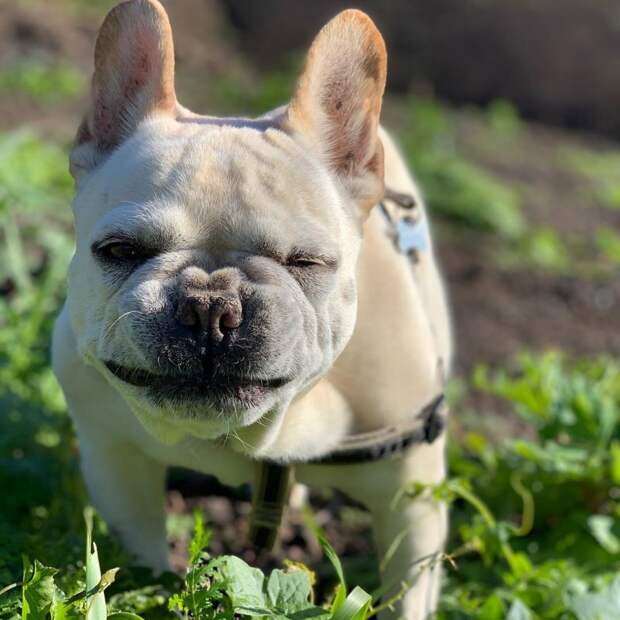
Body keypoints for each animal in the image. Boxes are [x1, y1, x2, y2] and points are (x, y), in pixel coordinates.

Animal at [53, 2, 450, 616]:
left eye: (307, 262)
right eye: (119, 251)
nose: (210, 307)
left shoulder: (413, 502)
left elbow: (408, 595)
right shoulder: (115, 462)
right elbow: (141, 552)